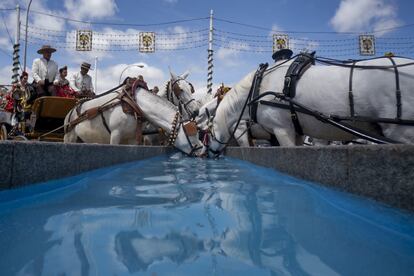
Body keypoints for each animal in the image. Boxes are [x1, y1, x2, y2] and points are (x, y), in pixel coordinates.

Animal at [64, 81, 204, 155]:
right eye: (190, 132)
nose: (203, 151)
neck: (134, 103)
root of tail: (70, 112)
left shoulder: (132, 138)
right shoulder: (115, 135)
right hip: (69, 136)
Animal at [204, 56, 414, 155]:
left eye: (210, 133)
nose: (208, 153)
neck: (257, 90)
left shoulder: (281, 129)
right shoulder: (296, 130)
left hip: (401, 132)